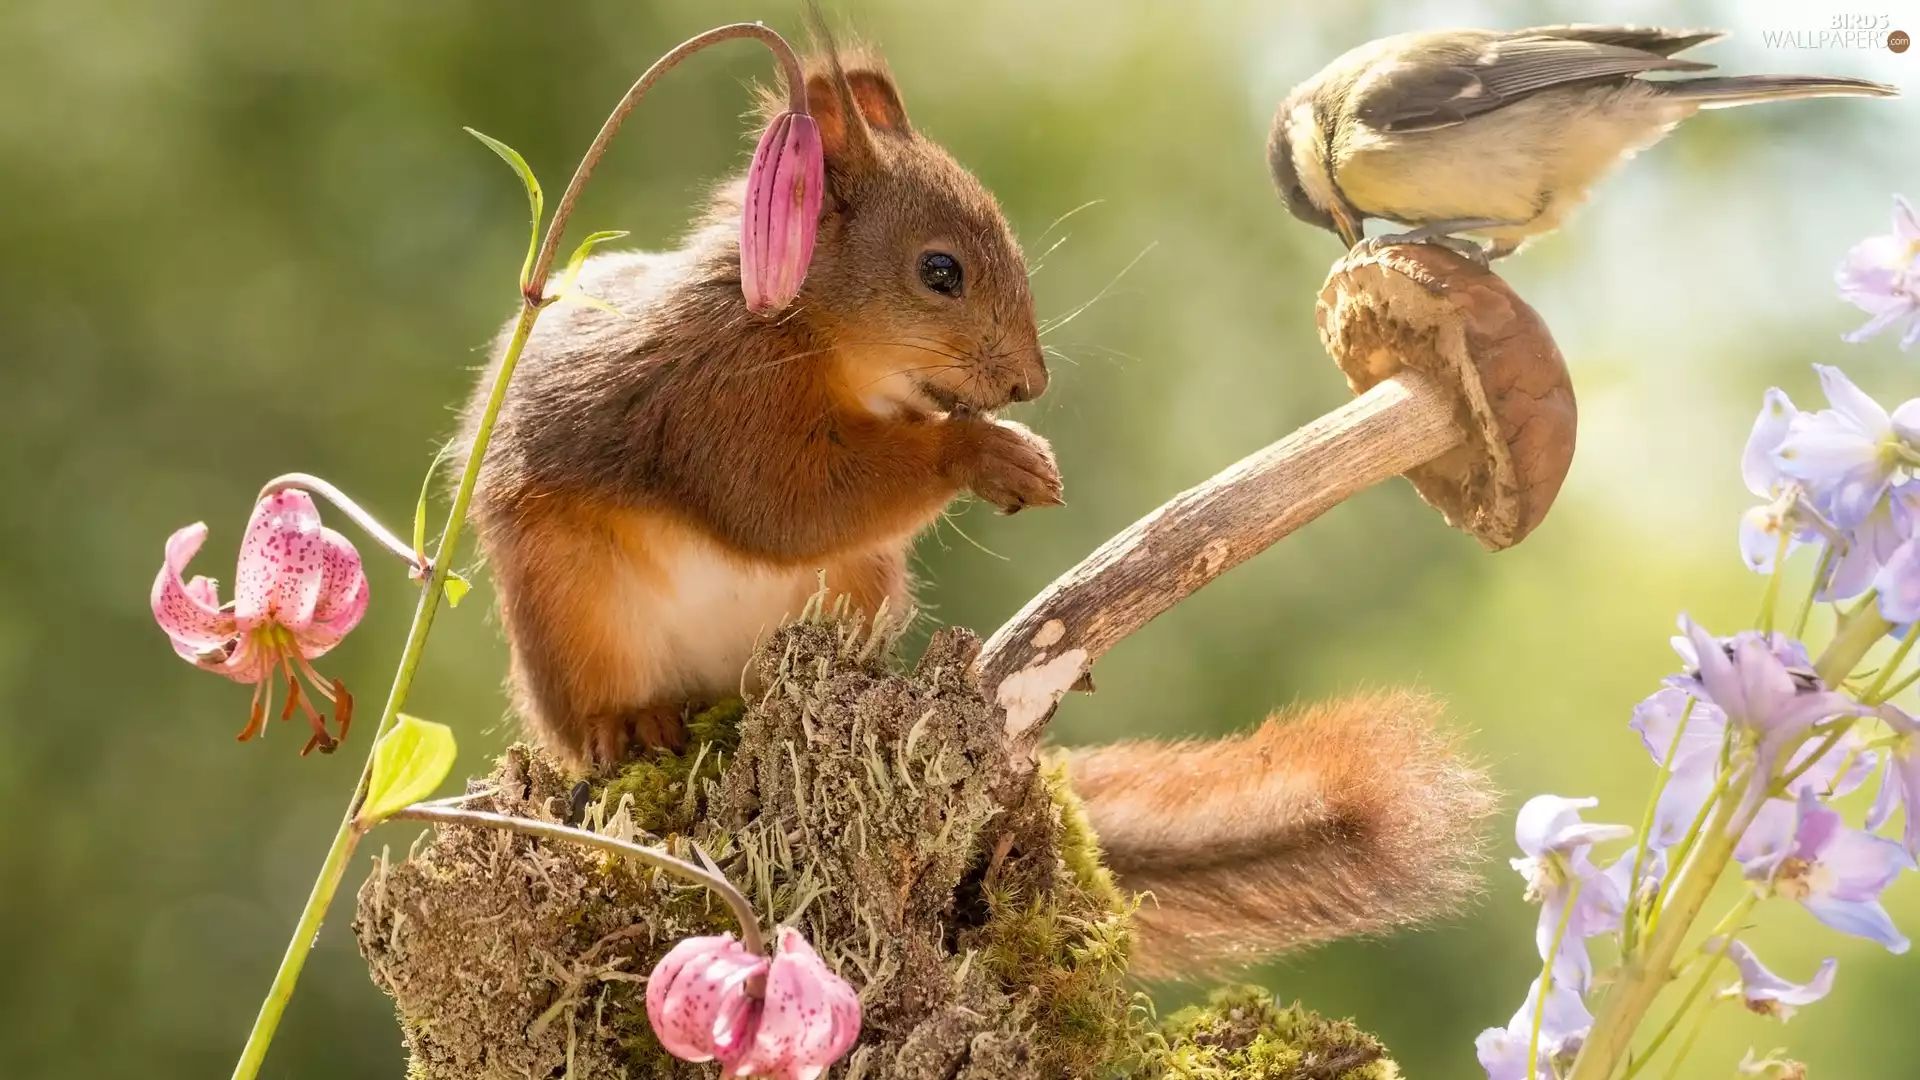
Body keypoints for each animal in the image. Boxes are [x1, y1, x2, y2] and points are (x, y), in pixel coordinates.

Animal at [463, 38, 1494, 979]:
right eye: (940, 271)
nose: (1029, 385)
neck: (819, 338)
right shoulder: (717, 403)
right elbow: (783, 501)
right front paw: (989, 453)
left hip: (853, 595)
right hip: (572, 614)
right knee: (592, 713)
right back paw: (627, 725)